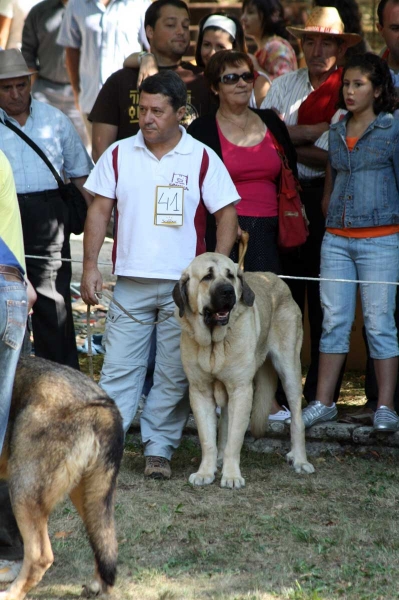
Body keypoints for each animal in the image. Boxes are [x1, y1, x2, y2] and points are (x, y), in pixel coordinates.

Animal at [174, 252, 316, 488]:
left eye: (230, 276)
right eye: (207, 277)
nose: (228, 291)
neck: (215, 343)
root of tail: (275, 278)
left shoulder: (241, 390)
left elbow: (235, 438)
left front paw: (231, 476)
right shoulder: (200, 392)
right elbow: (208, 439)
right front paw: (205, 471)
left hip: (290, 370)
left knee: (297, 419)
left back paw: (300, 460)